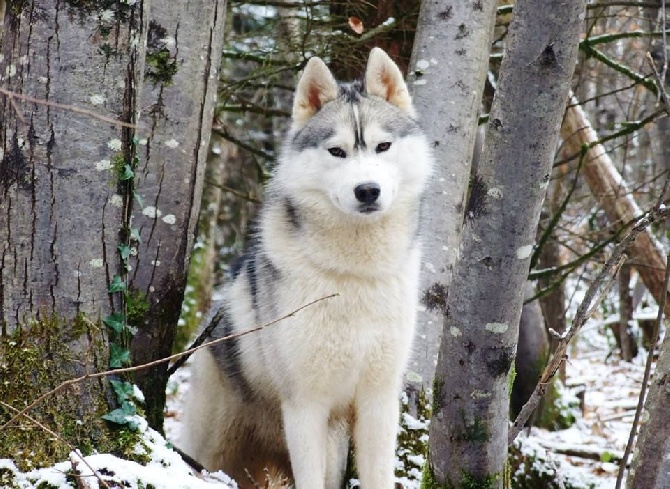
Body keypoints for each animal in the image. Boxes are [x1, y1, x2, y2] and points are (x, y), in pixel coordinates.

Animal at [182, 48, 436, 488]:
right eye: (337, 152)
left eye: (383, 146)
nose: (367, 190)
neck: (353, 275)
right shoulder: (305, 405)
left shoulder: (378, 400)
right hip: (217, 446)